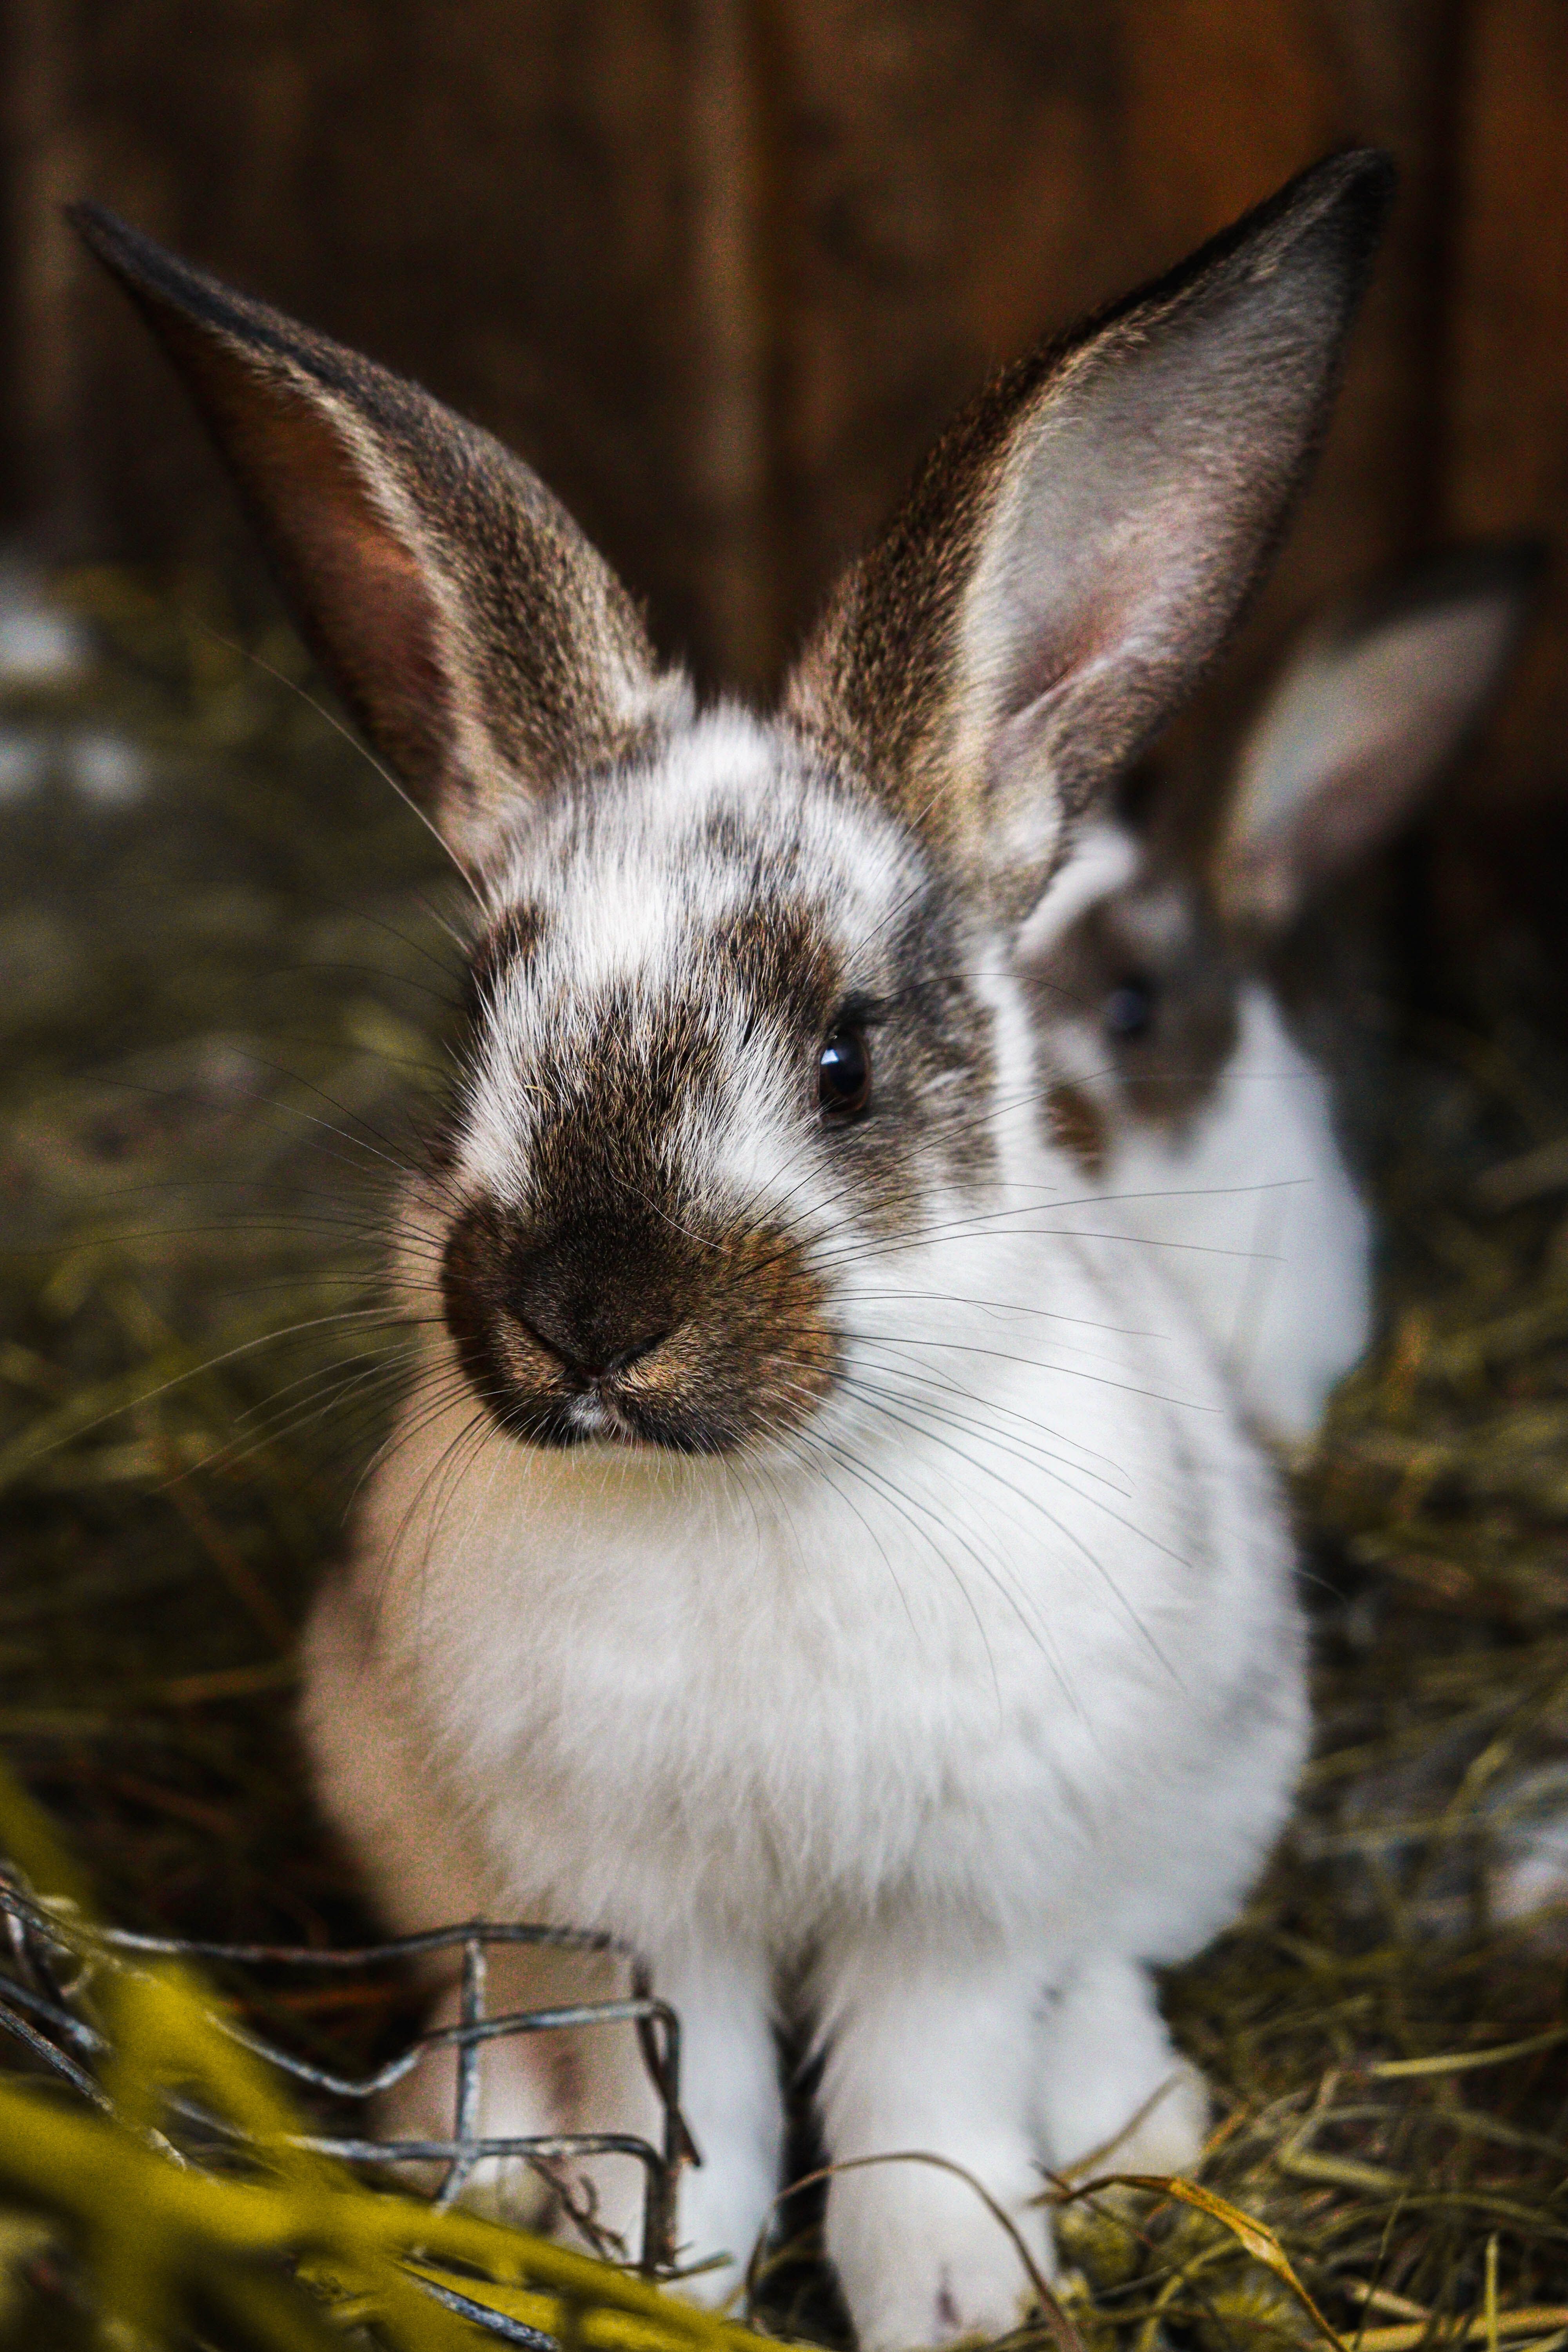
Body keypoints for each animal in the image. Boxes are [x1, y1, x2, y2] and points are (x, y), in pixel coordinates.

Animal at [75, 148, 1393, 2351]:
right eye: (477, 1019)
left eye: (848, 1056)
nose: (586, 1316)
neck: (751, 1494)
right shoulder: (616, 1904)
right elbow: (666, 2095)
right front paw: (648, 2272)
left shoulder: (956, 1897)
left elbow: (922, 2093)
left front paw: (957, 2293)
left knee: (1107, 1965)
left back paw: (1123, 2120)